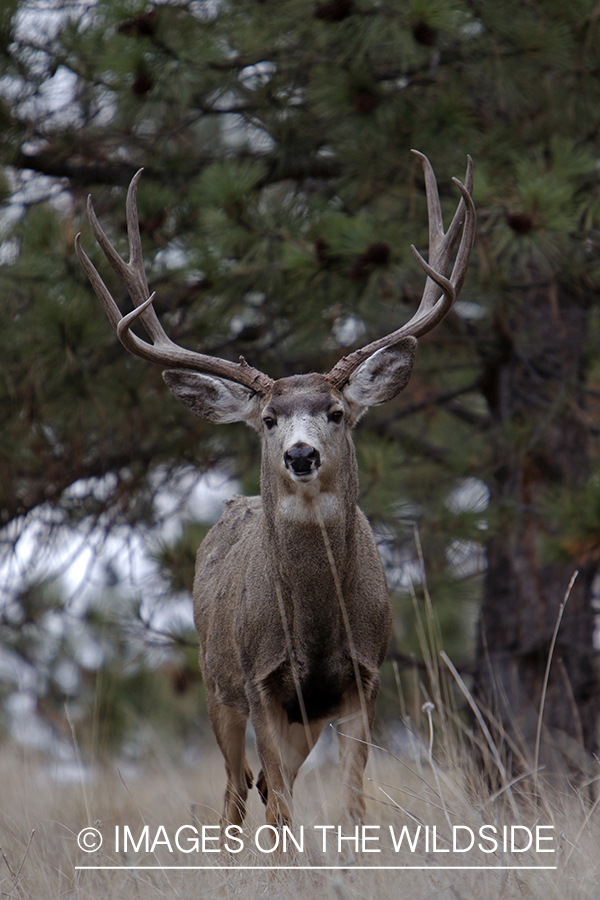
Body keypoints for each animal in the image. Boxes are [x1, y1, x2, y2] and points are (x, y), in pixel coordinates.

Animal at [75, 151, 475, 839]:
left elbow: (351, 801)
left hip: (299, 717)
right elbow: (282, 804)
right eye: (267, 419)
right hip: (216, 682)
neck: (313, 628)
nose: (300, 454)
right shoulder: (260, 681)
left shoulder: (363, 679)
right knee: (237, 791)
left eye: (337, 412)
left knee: (259, 785)